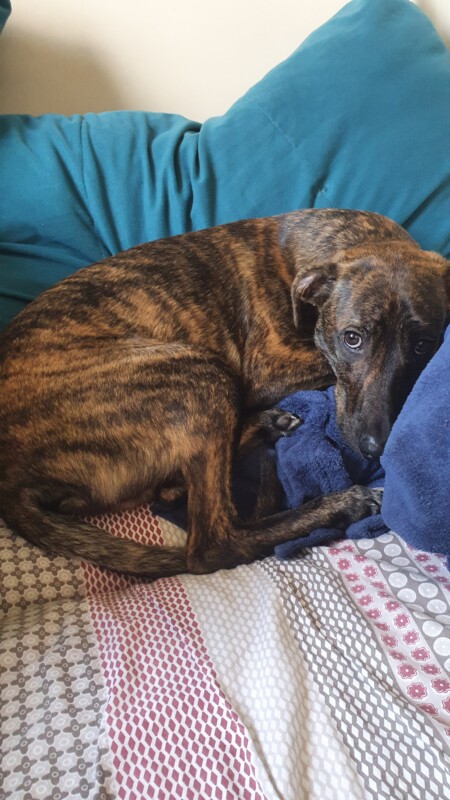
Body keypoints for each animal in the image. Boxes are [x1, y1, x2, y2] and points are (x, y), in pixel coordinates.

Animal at [0, 208, 448, 576]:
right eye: (352, 338)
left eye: (424, 346)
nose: (376, 447)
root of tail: (10, 479)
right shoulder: (267, 368)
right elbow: (324, 365)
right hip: (201, 375)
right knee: (214, 544)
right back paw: (339, 503)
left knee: (178, 487)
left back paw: (266, 424)